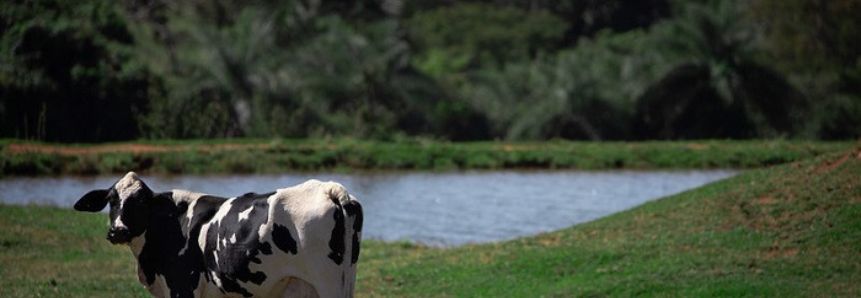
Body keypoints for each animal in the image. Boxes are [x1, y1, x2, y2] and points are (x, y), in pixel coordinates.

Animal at [74, 172, 366, 298]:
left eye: (141, 202)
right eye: (112, 200)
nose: (118, 230)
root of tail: (329, 187)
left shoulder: (183, 288)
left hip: (327, 283)